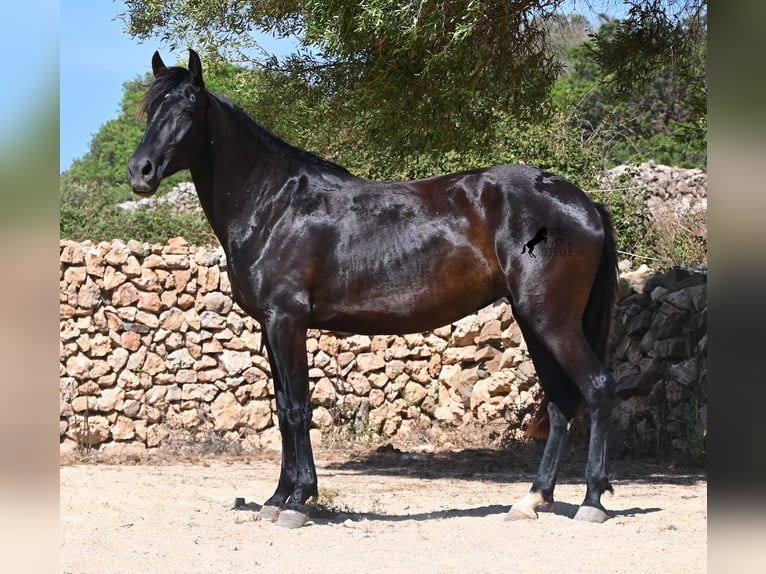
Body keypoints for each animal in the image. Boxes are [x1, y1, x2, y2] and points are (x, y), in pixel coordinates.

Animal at [128, 49, 619, 528]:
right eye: (150, 109)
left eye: (188, 109)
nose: (140, 171)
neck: (274, 205)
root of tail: (585, 204)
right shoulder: (270, 326)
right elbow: (284, 409)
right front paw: (278, 497)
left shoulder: (287, 321)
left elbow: (297, 409)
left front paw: (297, 501)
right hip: (533, 320)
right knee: (559, 402)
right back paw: (534, 499)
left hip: (552, 319)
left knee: (596, 387)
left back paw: (592, 501)